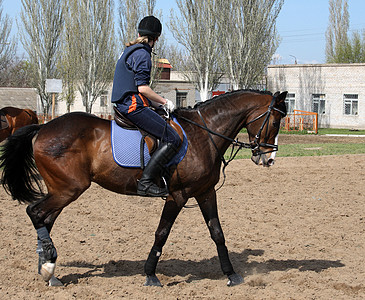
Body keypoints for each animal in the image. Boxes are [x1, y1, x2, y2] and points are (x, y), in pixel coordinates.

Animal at [0, 90, 288, 288]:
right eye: (275, 123)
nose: (269, 159)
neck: (204, 133)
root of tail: (43, 128)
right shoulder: (178, 196)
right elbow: (162, 234)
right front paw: (150, 275)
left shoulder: (206, 192)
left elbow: (217, 233)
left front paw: (232, 275)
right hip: (68, 189)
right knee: (36, 213)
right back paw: (48, 268)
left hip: (60, 190)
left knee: (45, 220)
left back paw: (49, 271)